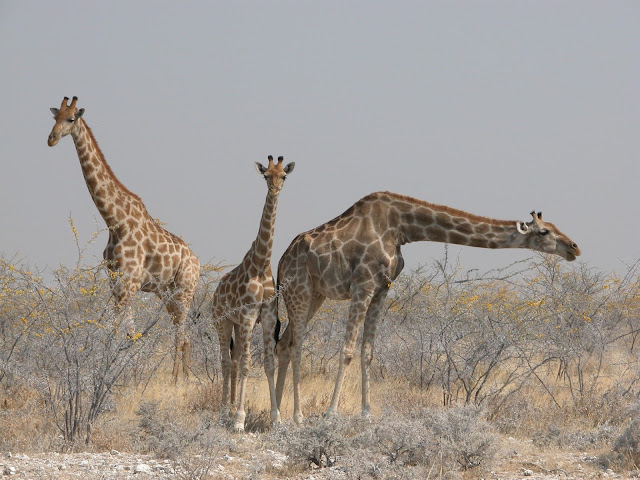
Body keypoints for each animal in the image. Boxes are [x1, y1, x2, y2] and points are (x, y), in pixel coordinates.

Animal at [47, 96, 200, 382]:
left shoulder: (128, 283)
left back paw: (178, 381)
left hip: (184, 291)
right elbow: (129, 332)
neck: (115, 220)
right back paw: (183, 378)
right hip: (166, 293)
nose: (51, 139)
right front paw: (128, 377)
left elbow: (120, 331)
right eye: (54, 117)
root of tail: (198, 264)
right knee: (183, 334)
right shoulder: (116, 281)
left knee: (182, 334)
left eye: (71, 119)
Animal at [214, 156, 296, 434]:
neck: (261, 264)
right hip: (222, 322)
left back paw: (228, 408)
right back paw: (225, 411)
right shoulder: (249, 316)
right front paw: (240, 420)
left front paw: (276, 418)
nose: (274, 189)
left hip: (238, 325)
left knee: (234, 360)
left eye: (283, 176)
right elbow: (249, 363)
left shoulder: (268, 316)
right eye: (265, 175)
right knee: (227, 361)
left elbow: (268, 363)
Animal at [270, 191, 580, 424]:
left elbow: (368, 351)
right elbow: (347, 350)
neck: (402, 227)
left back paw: (277, 416)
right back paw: (296, 416)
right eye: (544, 232)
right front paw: (330, 414)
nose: (574, 248)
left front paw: (366, 413)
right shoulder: (363, 285)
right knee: (296, 345)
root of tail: (281, 261)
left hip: (316, 295)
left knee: (284, 342)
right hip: (299, 289)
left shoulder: (381, 289)